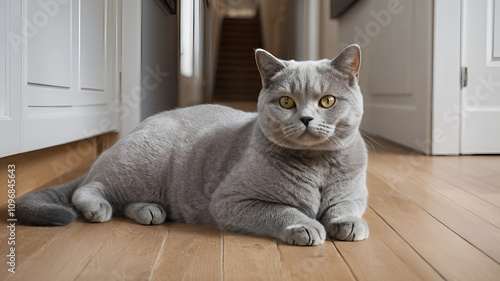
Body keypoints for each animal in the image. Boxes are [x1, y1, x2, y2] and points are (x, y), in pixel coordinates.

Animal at [16, 44, 368, 244]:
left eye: (327, 101)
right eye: (286, 102)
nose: (306, 118)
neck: (317, 166)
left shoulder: (354, 194)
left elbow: (346, 206)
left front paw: (349, 224)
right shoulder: (232, 201)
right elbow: (281, 210)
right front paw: (306, 226)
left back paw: (150, 211)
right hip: (143, 164)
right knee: (89, 188)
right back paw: (97, 208)